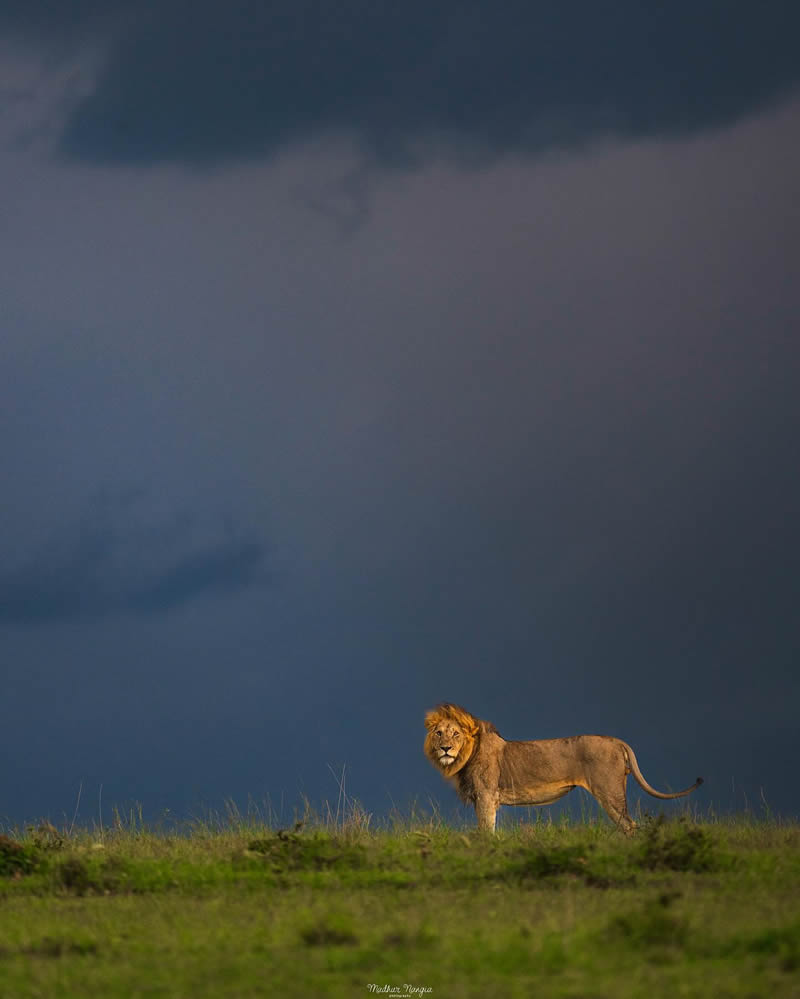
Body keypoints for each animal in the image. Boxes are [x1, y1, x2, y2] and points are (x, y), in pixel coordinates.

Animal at [422, 704, 704, 836]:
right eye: (439, 733)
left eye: (456, 734)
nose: (445, 749)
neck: (465, 757)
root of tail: (616, 741)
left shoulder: (486, 797)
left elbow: (485, 831)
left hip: (610, 792)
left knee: (629, 824)